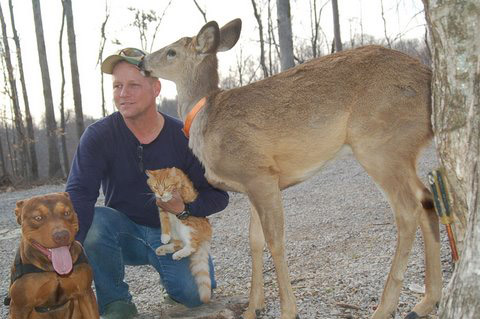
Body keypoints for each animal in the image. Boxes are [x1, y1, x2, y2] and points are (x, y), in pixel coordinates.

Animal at [145, 169, 213, 304]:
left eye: (166, 186)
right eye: (156, 187)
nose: (161, 194)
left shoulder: (184, 193)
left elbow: (180, 193)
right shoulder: (162, 210)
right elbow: (164, 222)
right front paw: (165, 236)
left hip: (186, 226)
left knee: (192, 246)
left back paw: (178, 254)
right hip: (176, 231)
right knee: (179, 244)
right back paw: (163, 249)